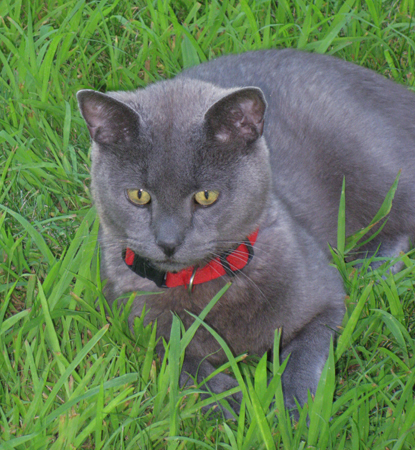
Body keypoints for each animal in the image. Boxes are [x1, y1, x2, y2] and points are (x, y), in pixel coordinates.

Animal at [77, 49, 415, 418]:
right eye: (138, 195)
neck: (203, 282)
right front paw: (231, 401)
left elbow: (306, 351)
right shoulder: (139, 325)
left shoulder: (326, 298)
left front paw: (291, 409)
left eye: (206, 196)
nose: (168, 242)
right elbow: (181, 362)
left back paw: (372, 269)